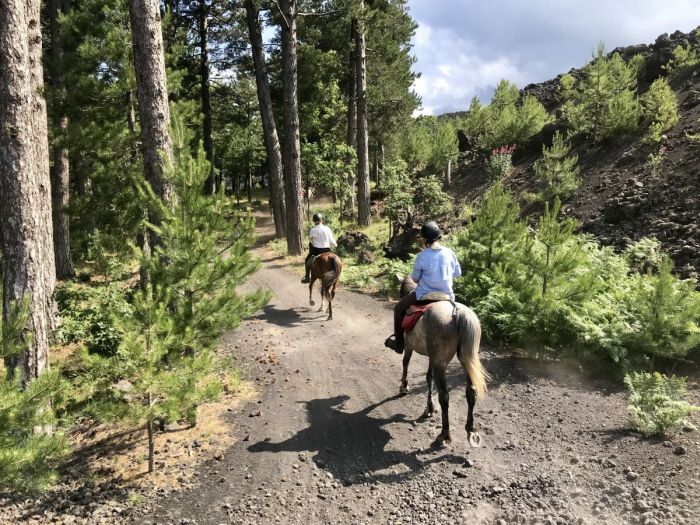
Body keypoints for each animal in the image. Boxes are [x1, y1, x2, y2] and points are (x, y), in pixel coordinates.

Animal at [396, 274, 490, 446]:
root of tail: (457, 313)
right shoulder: (432, 357)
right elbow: (428, 378)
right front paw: (429, 408)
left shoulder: (409, 346)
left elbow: (406, 362)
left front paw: (404, 386)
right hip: (465, 360)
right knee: (470, 391)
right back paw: (470, 428)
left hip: (441, 363)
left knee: (444, 396)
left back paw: (444, 434)